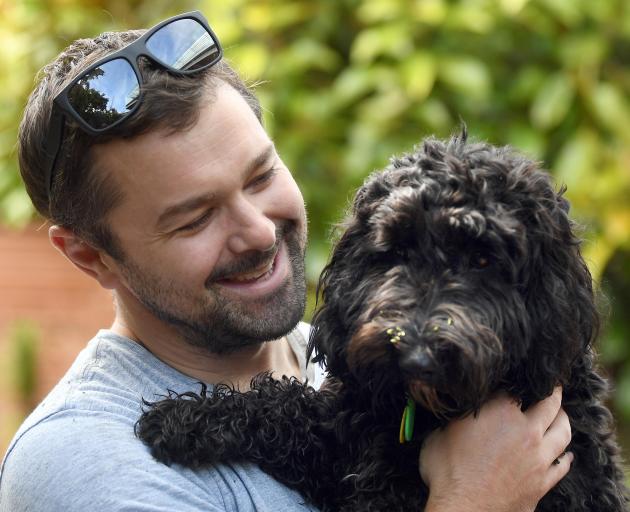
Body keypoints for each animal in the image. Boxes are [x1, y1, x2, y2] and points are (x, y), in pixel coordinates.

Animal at [136, 133, 628, 512]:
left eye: (484, 260)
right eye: (396, 251)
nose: (415, 357)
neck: (416, 409)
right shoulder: (343, 438)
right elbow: (281, 405)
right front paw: (187, 417)